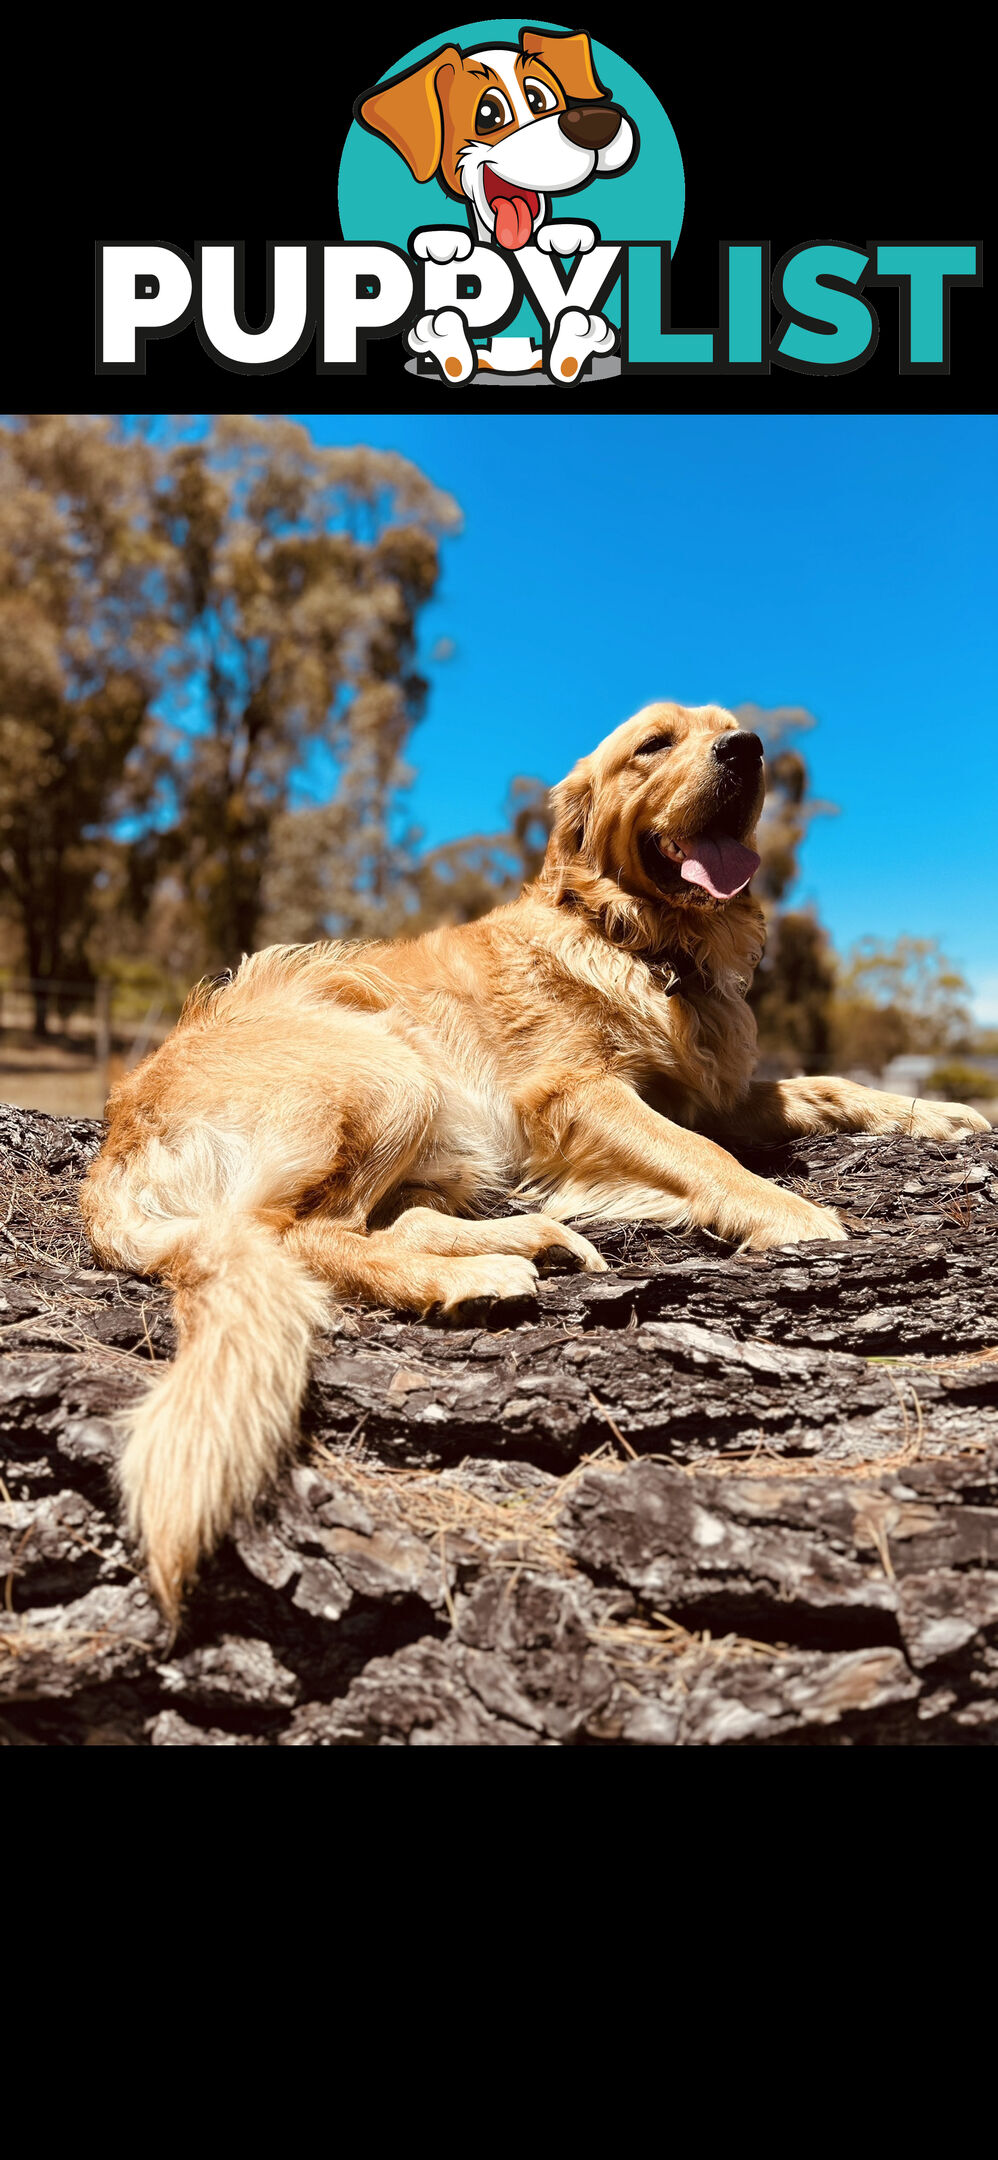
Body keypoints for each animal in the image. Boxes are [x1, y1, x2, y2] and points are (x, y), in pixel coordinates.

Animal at [83, 708, 989, 1624]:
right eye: (654, 744)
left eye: (731, 728)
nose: (747, 750)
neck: (644, 942)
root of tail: (119, 1143)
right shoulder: (578, 1094)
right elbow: (706, 1156)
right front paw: (792, 1214)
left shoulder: (712, 1093)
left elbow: (825, 1085)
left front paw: (935, 1116)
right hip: (387, 1069)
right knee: (301, 1234)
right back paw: (471, 1278)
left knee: (385, 1222)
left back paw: (527, 1241)